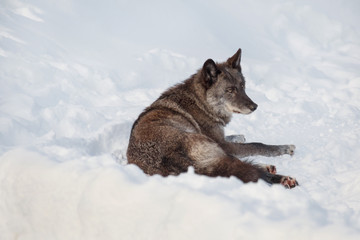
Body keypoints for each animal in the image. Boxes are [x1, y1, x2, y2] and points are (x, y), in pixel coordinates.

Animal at [126, 48, 298, 188]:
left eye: (242, 86)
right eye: (230, 90)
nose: (254, 106)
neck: (201, 103)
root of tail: (171, 157)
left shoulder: (219, 139)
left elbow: (234, 137)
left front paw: (239, 136)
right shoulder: (223, 144)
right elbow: (258, 145)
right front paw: (285, 148)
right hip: (213, 147)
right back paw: (283, 179)